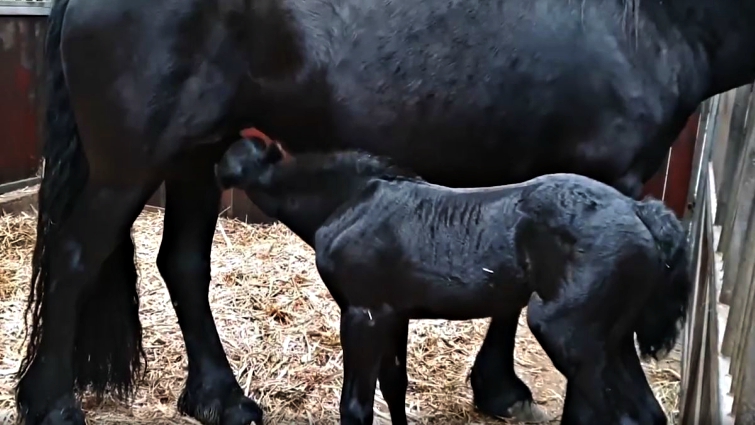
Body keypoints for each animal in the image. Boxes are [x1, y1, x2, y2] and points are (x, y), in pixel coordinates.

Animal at [213, 136, 691, 425]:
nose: (211, 169)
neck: (350, 202)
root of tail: (641, 212)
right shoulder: (394, 315)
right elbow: (395, 385)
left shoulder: (363, 314)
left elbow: (356, 405)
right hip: (614, 340)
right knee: (646, 413)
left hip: (571, 334)